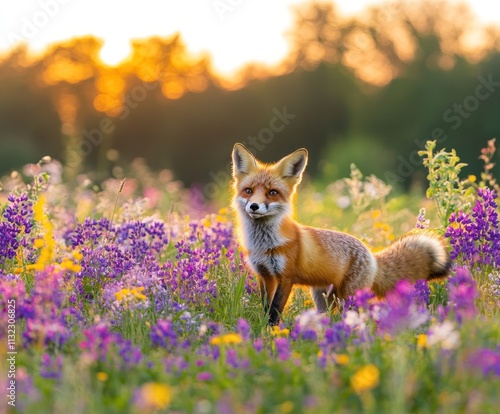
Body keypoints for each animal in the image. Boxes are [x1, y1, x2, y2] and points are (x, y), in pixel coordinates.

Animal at [232, 144, 452, 326]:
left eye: (272, 193)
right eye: (248, 191)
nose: (254, 206)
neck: (264, 244)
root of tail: (372, 255)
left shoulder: (285, 277)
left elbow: (275, 310)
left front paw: (271, 333)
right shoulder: (264, 275)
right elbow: (266, 307)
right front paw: (264, 331)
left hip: (349, 296)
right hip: (323, 297)